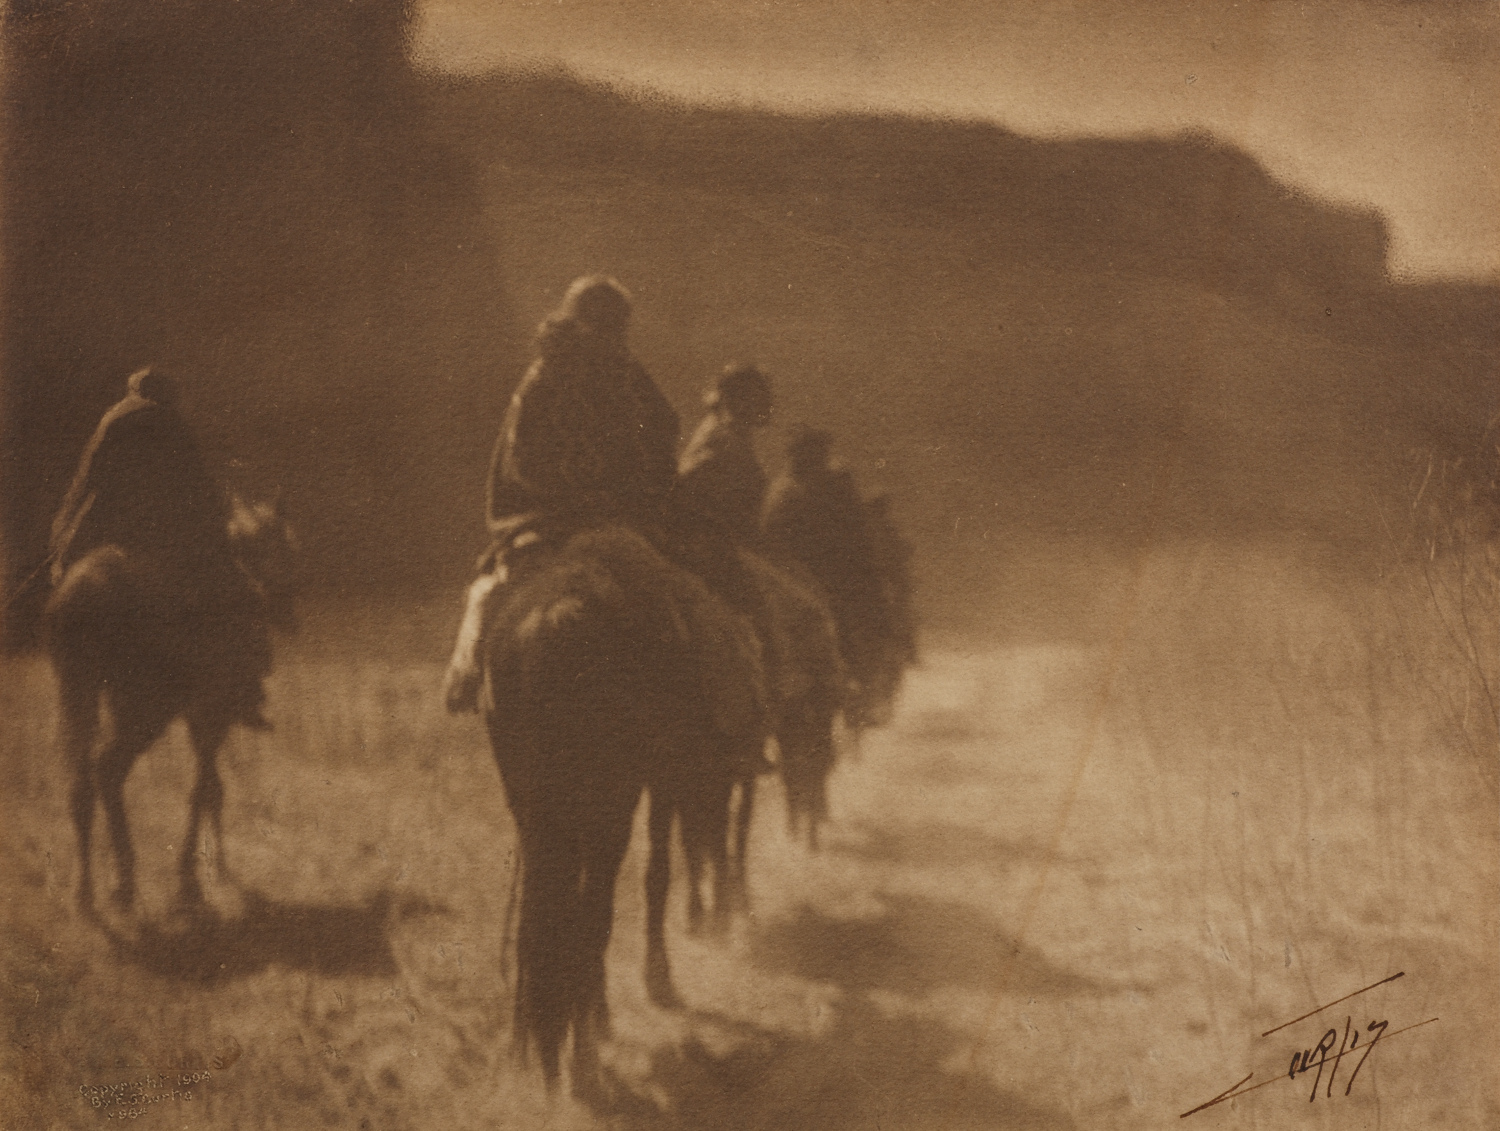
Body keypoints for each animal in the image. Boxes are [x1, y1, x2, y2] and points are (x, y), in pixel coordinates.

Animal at [45, 492, 297, 906]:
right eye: (287, 547)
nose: (289, 617)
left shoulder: (199, 718)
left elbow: (211, 788)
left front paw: (215, 869)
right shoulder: (212, 714)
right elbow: (205, 789)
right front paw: (193, 878)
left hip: (83, 694)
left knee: (85, 781)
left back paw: (88, 890)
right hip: (144, 710)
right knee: (108, 769)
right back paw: (124, 881)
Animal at [483, 525, 768, 1098]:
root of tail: (559, 618)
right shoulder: (663, 781)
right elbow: (660, 872)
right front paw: (657, 980)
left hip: (539, 812)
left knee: (548, 917)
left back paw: (558, 1046)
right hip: (610, 807)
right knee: (595, 911)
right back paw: (585, 1058)